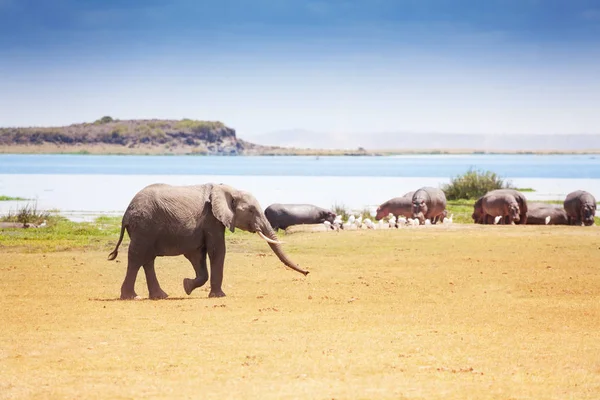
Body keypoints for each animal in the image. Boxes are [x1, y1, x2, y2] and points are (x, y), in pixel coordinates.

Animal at [106, 183, 310, 298]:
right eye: (251, 211)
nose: (307, 272)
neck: (229, 189)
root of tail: (126, 214)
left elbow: (198, 255)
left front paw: (186, 286)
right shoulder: (212, 218)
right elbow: (217, 250)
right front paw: (219, 296)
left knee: (148, 260)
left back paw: (160, 296)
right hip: (144, 227)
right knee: (137, 257)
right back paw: (132, 297)